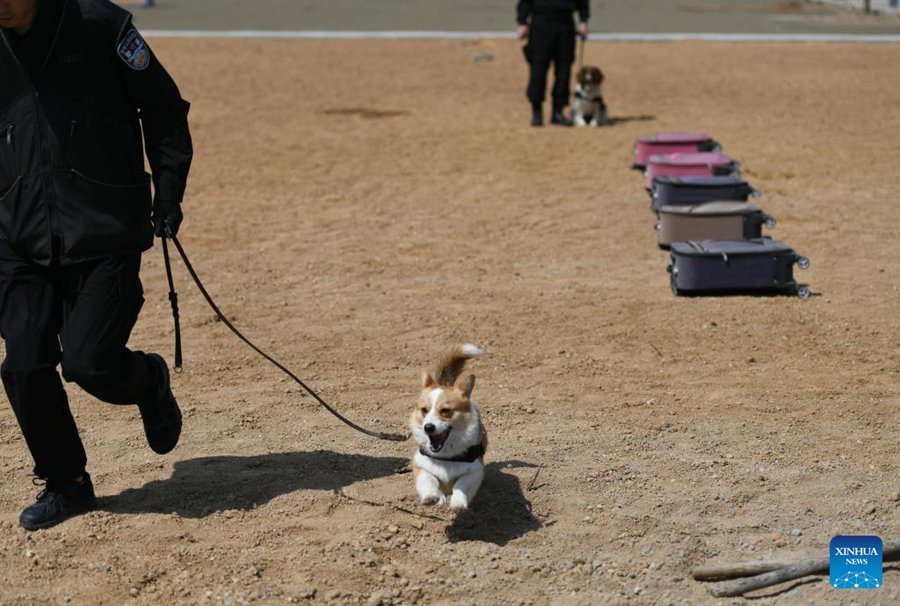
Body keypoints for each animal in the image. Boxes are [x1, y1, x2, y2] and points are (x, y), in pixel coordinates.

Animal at [412, 346, 488, 512]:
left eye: (445, 410)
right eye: (424, 410)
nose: (428, 427)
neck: (446, 455)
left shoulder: (475, 470)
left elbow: (461, 485)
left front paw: (458, 502)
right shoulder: (420, 464)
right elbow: (428, 479)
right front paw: (431, 496)